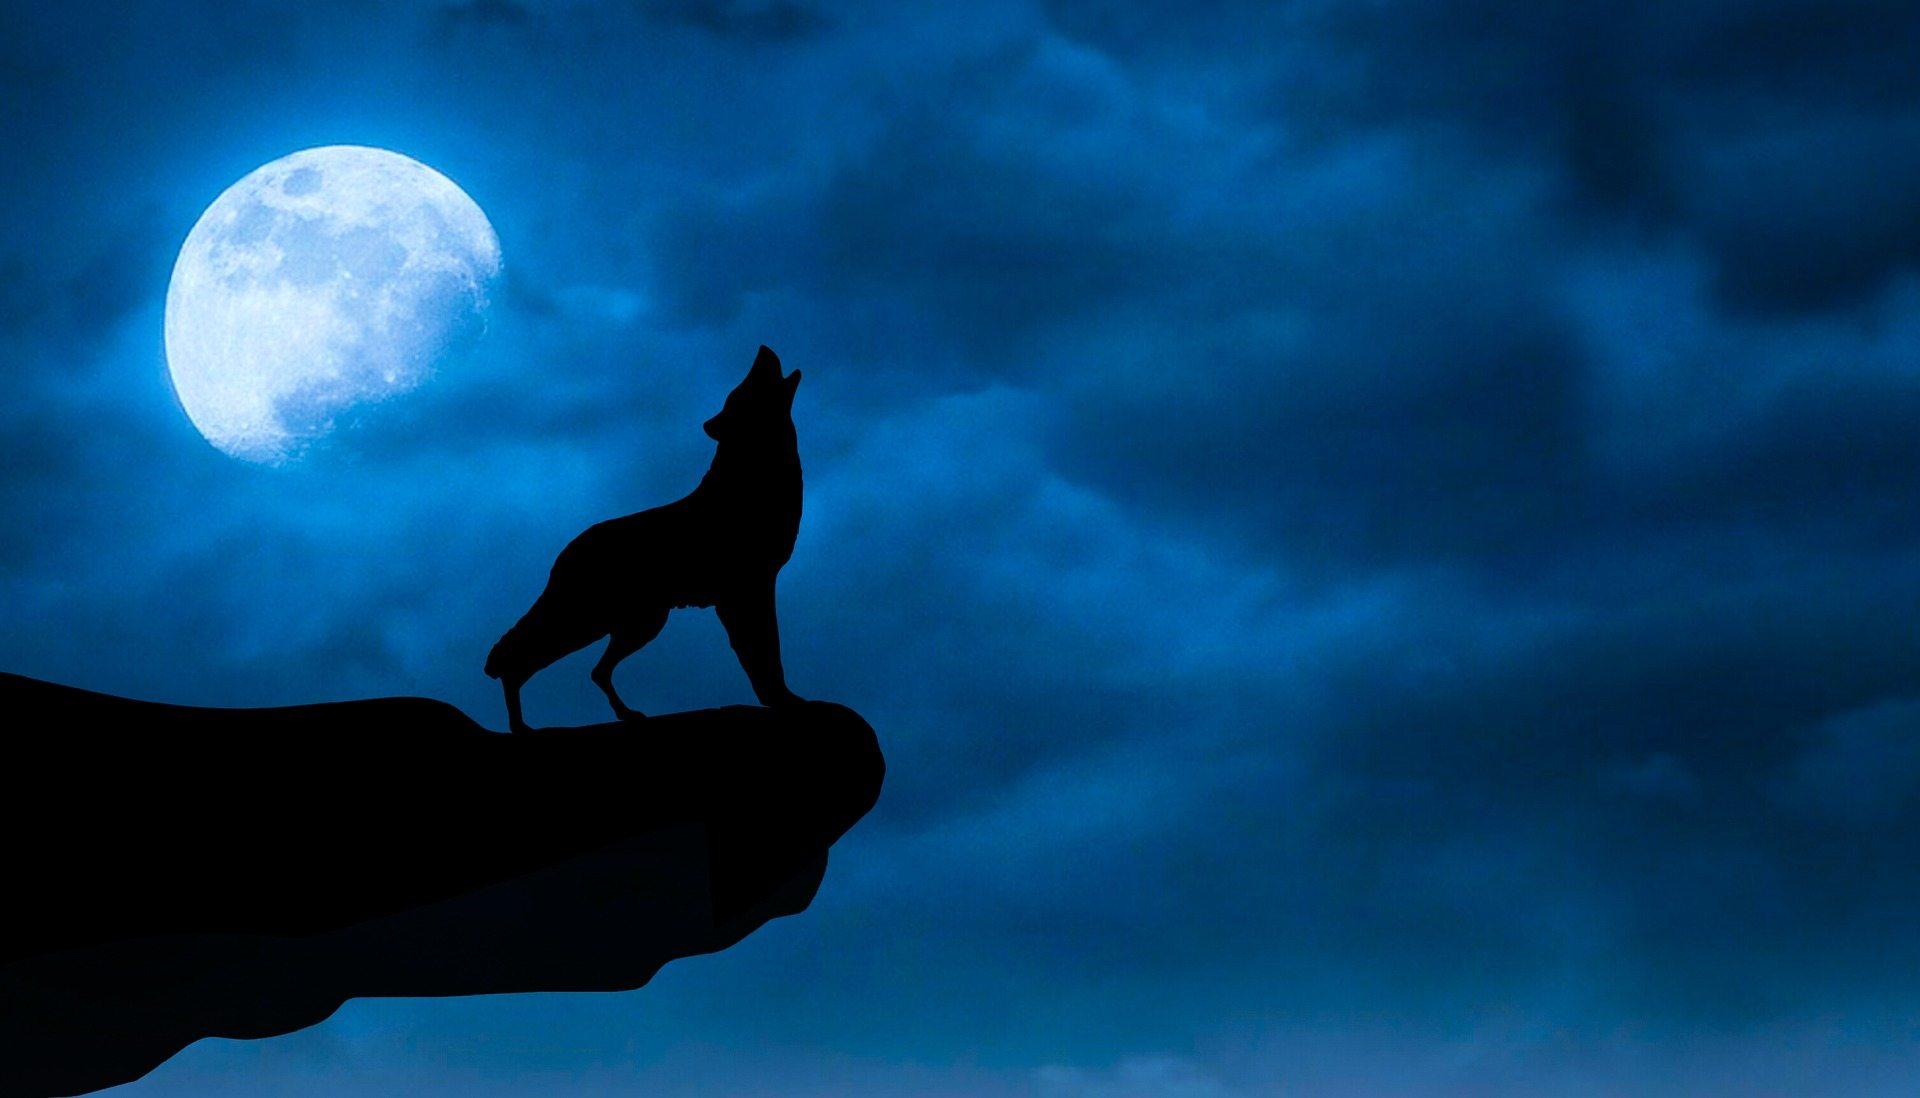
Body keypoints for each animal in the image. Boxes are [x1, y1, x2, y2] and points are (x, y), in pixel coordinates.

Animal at [486, 345, 805, 733]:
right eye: (743, 388)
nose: (763, 348)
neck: (753, 475)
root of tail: (564, 553)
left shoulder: (751, 588)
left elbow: (765, 654)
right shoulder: (745, 590)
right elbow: (763, 654)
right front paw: (783, 701)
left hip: (638, 624)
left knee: (595, 671)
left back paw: (624, 714)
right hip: (590, 621)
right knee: (519, 657)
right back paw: (520, 727)